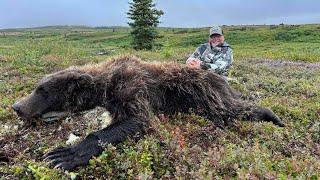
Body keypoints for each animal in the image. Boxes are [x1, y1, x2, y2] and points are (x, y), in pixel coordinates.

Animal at [11, 56, 284, 170]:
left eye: (41, 90)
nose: (15, 106)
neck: (107, 82)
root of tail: (222, 81)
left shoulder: (134, 87)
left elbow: (137, 120)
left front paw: (66, 154)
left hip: (209, 97)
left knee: (235, 110)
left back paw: (274, 117)